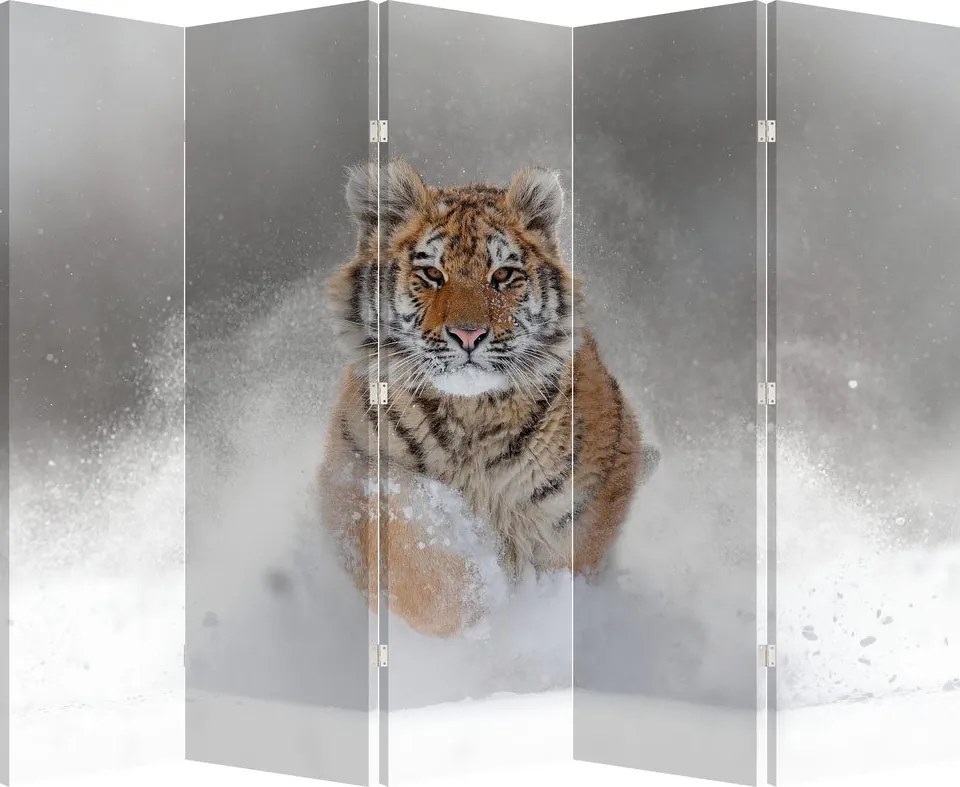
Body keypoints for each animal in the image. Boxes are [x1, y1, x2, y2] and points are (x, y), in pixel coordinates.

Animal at [319, 159, 658, 637]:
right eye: (432, 274)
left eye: (502, 276)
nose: (468, 334)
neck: (471, 416)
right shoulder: (357, 471)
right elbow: (419, 553)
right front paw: (467, 619)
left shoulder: (580, 511)